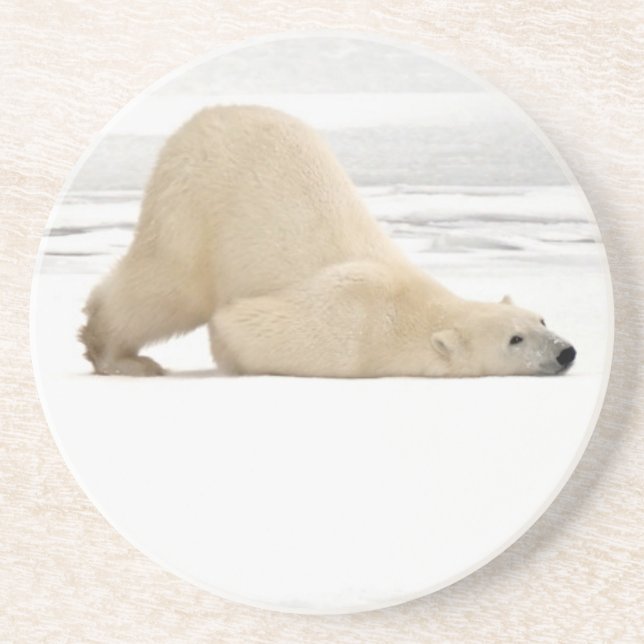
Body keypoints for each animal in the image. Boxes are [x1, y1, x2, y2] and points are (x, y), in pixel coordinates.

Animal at [79, 105, 576, 378]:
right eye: (515, 339)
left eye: (542, 318)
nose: (566, 351)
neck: (411, 307)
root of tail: (202, 118)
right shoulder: (351, 326)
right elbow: (238, 323)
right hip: (195, 205)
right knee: (166, 288)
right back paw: (119, 356)